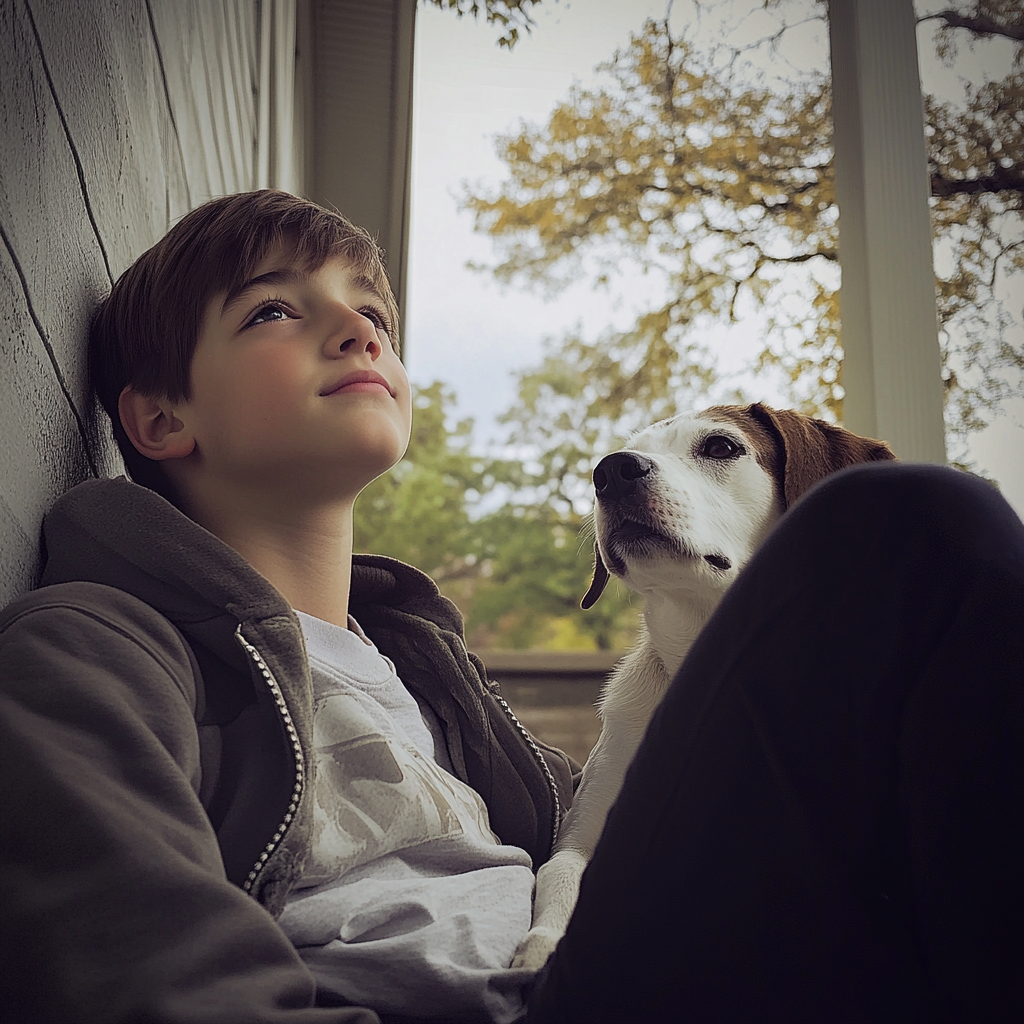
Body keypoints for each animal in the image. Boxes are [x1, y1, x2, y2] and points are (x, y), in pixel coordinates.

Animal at [512, 399, 897, 966]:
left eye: (720, 446)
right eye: (624, 454)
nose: (611, 471)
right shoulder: (581, 840)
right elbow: (561, 874)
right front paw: (545, 944)